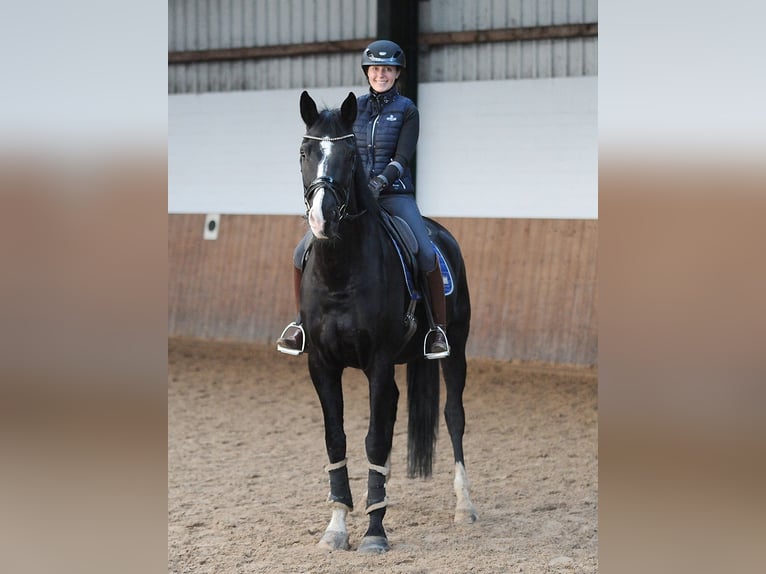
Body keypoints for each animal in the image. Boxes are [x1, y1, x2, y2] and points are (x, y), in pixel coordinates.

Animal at [296, 90, 476, 552]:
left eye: (348, 156)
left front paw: (375, 531)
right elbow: (337, 439)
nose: (322, 219)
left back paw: (464, 507)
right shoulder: (321, 364)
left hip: (456, 349)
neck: (341, 271)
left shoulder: (377, 362)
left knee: (453, 416)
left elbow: (374, 438)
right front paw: (337, 526)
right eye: (305, 152)